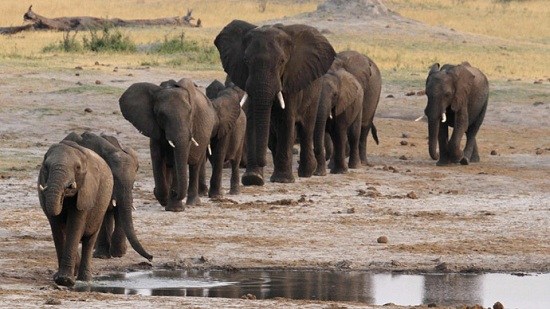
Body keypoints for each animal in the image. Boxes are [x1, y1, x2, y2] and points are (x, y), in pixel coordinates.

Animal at [37, 140, 113, 286]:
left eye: (77, 168)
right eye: (46, 166)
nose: (66, 189)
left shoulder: (87, 190)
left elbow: (75, 225)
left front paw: (65, 280)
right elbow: (57, 226)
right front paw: (61, 278)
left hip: (102, 205)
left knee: (89, 240)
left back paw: (85, 279)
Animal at [64, 130, 153, 260]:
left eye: (133, 181)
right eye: (114, 178)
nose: (151, 257)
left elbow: (119, 211)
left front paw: (119, 254)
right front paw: (102, 255)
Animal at [119, 78, 217, 211]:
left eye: (190, 112)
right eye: (161, 115)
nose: (175, 193)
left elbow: (177, 159)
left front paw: (174, 208)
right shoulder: (154, 126)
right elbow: (157, 157)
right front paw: (163, 198)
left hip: (206, 135)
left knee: (195, 165)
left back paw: (192, 203)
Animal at [215, 19, 336, 185]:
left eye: (282, 61)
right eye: (246, 60)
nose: (263, 163)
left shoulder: (291, 78)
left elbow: (286, 119)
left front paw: (282, 180)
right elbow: (253, 118)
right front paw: (253, 178)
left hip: (314, 91)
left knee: (306, 128)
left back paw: (306, 172)